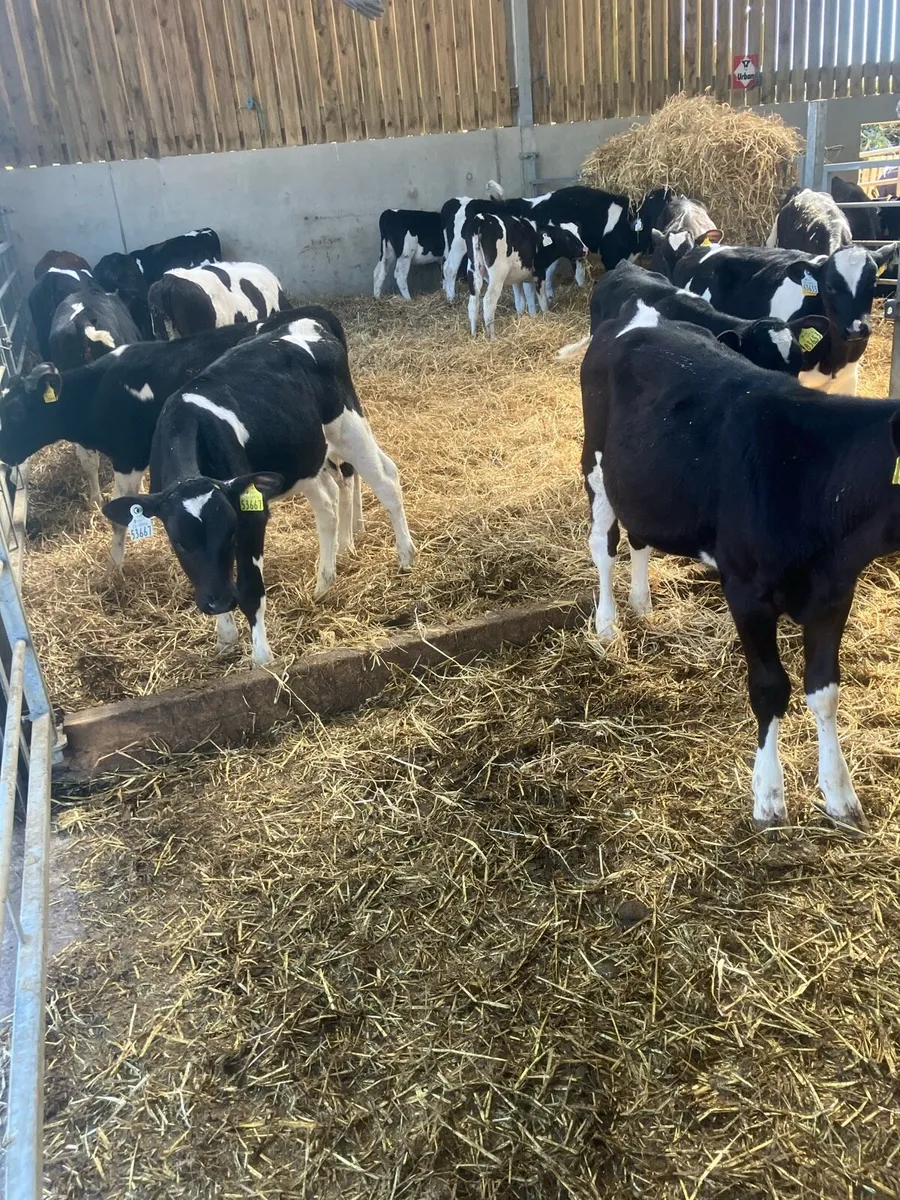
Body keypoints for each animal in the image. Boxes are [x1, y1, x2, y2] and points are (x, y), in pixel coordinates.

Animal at [0, 307, 340, 567]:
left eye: (15, 411)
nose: (4, 457)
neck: (100, 391)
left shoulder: (128, 458)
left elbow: (120, 517)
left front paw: (115, 569)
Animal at [102, 314, 415, 667]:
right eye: (179, 542)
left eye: (230, 533)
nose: (219, 601)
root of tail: (308, 323)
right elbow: (209, 577)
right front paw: (225, 638)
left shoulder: (252, 517)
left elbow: (251, 590)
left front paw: (262, 659)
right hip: (305, 457)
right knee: (330, 505)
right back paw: (324, 583)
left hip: (348, 426)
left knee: (386, 481)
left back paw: (406, 557)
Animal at [581, 307, 900, 833]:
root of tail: (642, 317)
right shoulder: (747, 593)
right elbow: (770, 689)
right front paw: (769, 797)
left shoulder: (834, 593)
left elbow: (824, 690)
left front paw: (840, 795)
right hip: (595, 462)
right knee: (603, 545)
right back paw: (608, 624)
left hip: (649, 481)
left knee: (640, 537)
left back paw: (642, 606)